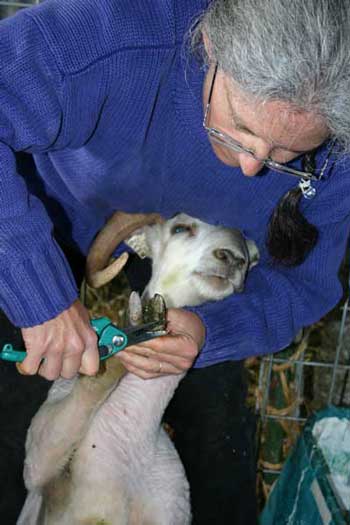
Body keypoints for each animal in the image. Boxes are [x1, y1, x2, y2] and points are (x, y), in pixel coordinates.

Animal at [18, 212, 260, 524]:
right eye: (180, 228)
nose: (232, 258)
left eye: (249, 257)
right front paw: (131, 323)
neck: (125, 432)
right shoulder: (39, 460)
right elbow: (88, 391)